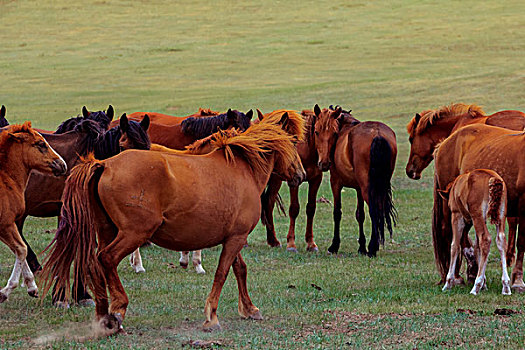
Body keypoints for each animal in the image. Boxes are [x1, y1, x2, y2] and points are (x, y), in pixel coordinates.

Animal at [0, 121, 67, 302]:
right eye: (41, 144)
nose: (62, 164)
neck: (5, 179)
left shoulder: (8, 225)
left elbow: (19, 250)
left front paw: (32, 287)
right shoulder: (6, 224)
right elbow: (22, 249)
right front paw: (6, 291)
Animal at [42, 112, 308, 334]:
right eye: (294, 142)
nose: (301, 174)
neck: (243, 168)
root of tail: (105, 164)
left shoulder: (234, 237)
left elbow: (239, 269)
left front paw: (250, 309)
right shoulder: (235, 238)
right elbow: (222, 273)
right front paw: (211, 317)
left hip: (107, 230)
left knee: (95, 263)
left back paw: (103, 315)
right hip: (133, 233)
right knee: (106, 258)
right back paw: (118, 309)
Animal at [310, 105, 396, 256]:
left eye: (334, 133)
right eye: (316, 132)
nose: (324, 164)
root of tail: (378, 134)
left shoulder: (336, 183)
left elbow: (337, 212)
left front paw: (334, 245)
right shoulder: (358, 188)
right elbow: (360, 215)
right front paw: (361, 246)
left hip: (368, 189)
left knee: (374, 210)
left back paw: (373, 247)